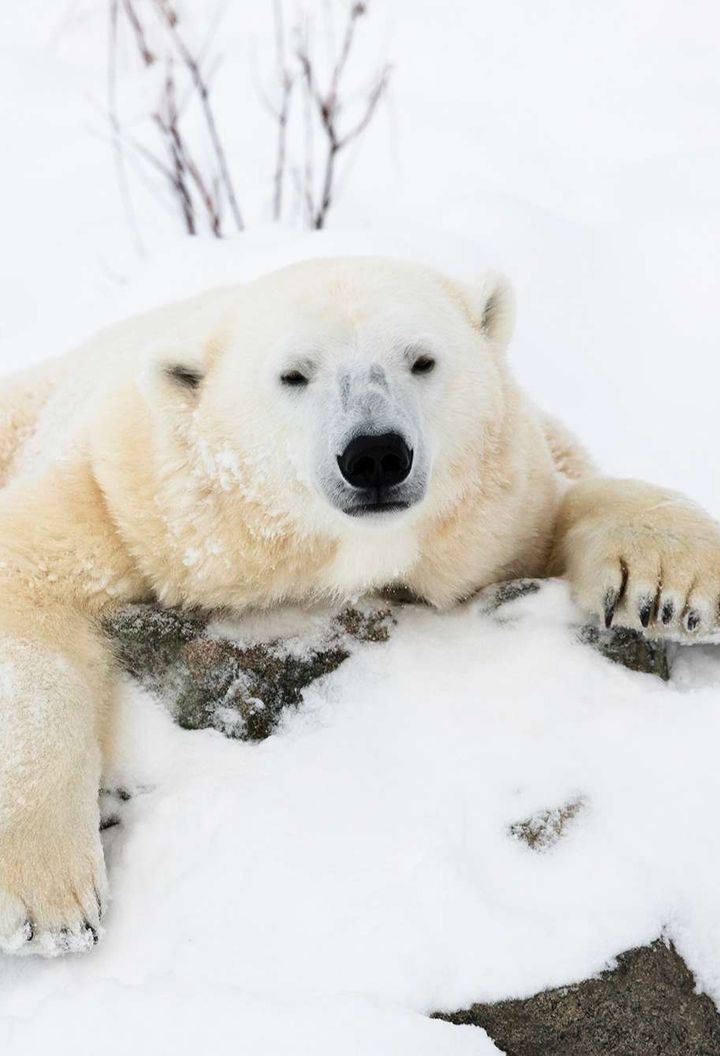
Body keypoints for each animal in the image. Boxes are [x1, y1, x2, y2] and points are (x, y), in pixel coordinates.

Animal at [1, 257, 717, 958]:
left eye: (422, 360)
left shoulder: (502, 507)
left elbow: (565, 504)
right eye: (293, 375)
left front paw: (672, 589)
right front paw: (48, 902)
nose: (375, 454)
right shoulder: (126, 496)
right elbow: (28, 595)